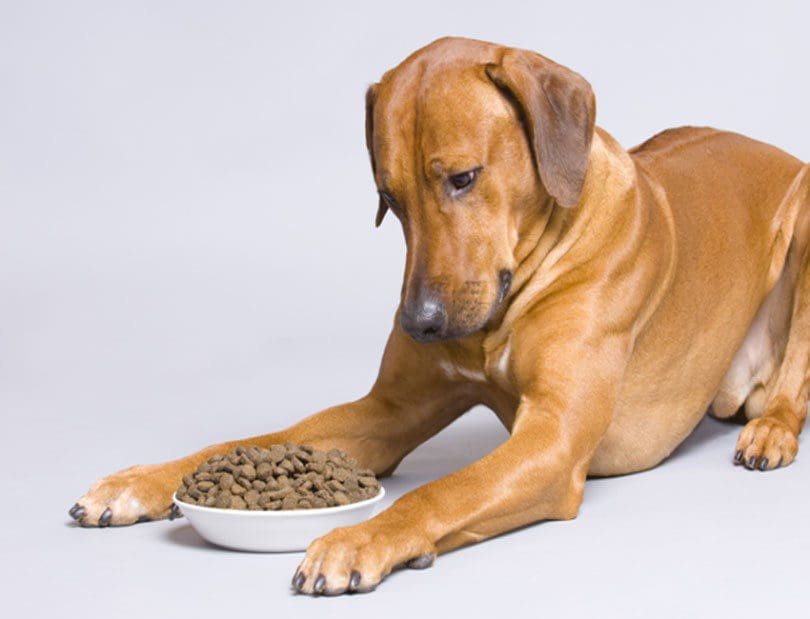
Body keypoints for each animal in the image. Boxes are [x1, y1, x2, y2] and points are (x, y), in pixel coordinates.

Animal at [69, 37, 808, 596]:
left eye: (463, 178)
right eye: (388, 197)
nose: (419, 322)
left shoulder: (554, 440)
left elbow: (444, 492)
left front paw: (359, 537)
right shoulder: (388, 409)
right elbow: (256, 439)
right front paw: (143, 481)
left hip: (803, 222)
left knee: (793, 381)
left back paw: (770, 431)